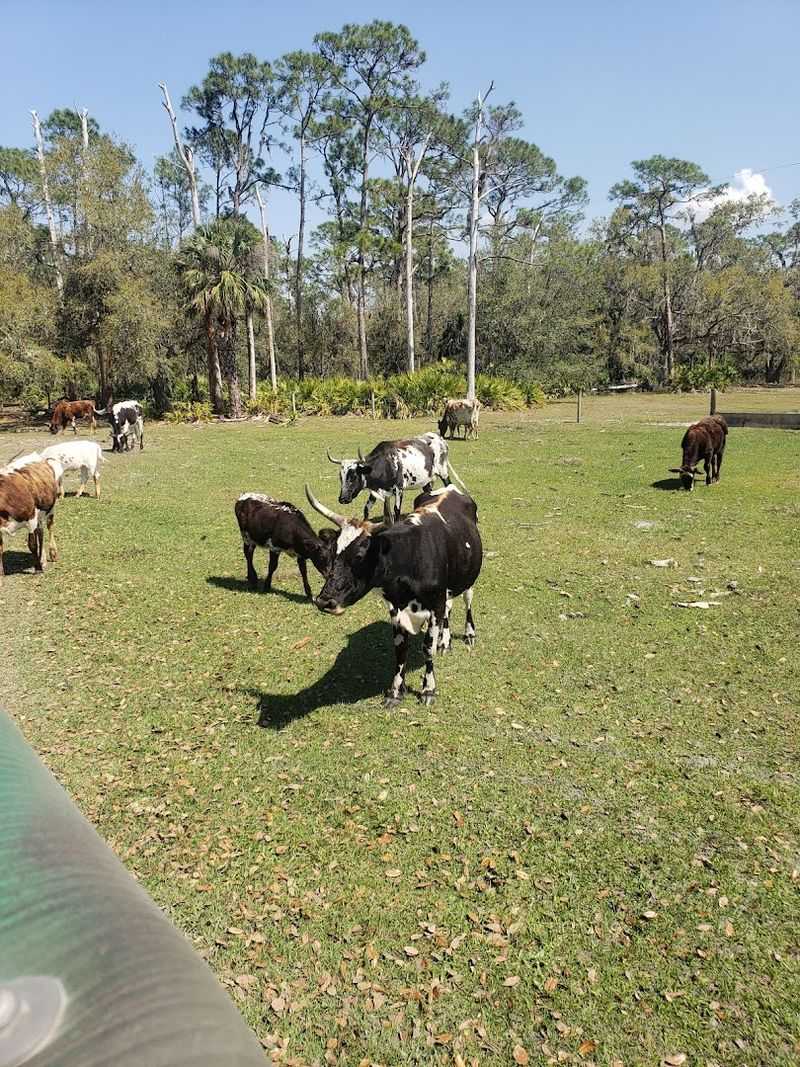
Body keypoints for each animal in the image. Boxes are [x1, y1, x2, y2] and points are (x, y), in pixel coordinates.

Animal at [0, 456, 62, 585]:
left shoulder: (31, 519)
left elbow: (32, 545)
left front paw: (38, 568)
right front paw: (1, 573)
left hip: (51, 508)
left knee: (49, 527)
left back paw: (52, 553)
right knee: (41, 532)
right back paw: (42, 559)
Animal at [305, 483, 482, 708]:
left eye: (360, 555)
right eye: (332, 551)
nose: (324, 601)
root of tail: (449, 488)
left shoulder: (435, 605)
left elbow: (427, 648)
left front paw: (428, 690)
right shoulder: (395, 608)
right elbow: (400, 650)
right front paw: (396, 691)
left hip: (468, 579)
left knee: (467, 601)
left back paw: (468, 635)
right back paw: (445, 642)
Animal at [326, 432, 459, 523]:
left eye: (353, 476)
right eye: (341, 477)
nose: (342, 499)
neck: (386, 463)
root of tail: (439, 438)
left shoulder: (399, 490)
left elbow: (396, 510)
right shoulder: (375, 491)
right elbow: (367, 509)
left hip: (443, 472)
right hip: (426, 482)